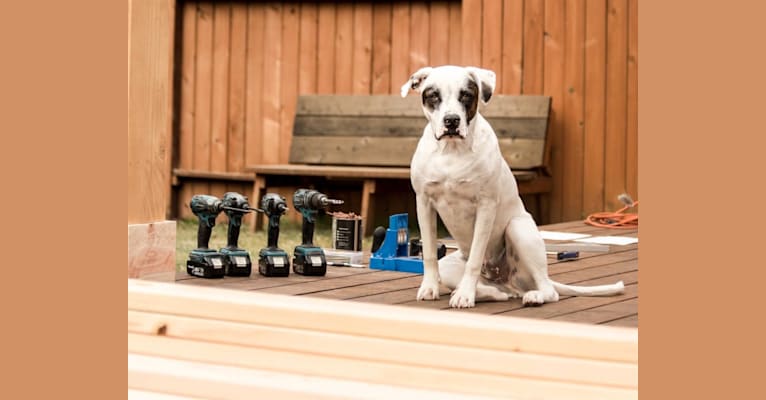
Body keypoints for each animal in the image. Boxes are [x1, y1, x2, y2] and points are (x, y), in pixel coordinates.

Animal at [402, 66, 624, 310]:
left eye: (466, 95)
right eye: (434, 95)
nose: (451, 120)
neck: (452, 150)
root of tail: (503, 277)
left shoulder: (486, 206)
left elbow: (475, 258)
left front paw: (465, 296)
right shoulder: (424, 203)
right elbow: (430, 253)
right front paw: (429, 288)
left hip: (518, 230)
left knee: (547, 289)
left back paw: (530, 296)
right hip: (452, 266)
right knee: (498, 290)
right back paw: (489, 292)